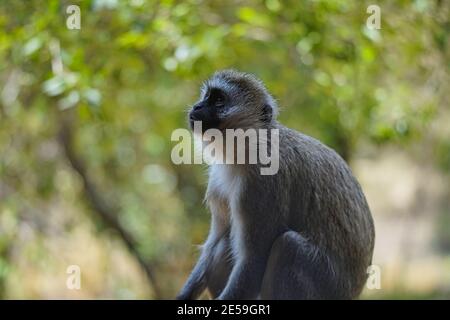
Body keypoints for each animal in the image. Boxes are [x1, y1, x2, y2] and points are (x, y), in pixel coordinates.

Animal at [178, 70, 374, 300]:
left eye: (218, 100)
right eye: (206, 96)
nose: (197, 106)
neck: (247, 149)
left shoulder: (261, 187)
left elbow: (253, 261)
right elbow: (213, 243)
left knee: (288, 246)